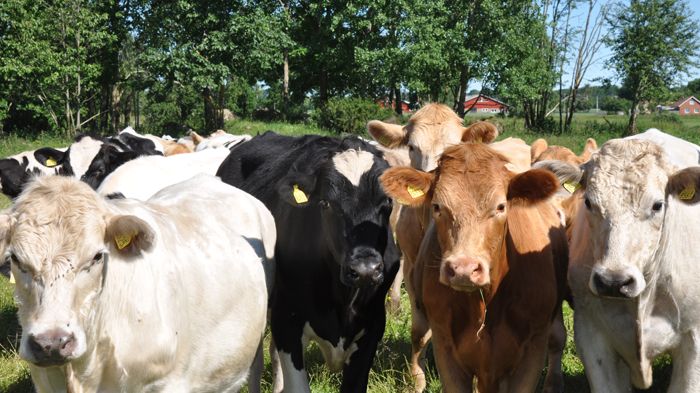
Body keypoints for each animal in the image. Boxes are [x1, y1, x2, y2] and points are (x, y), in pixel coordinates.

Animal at [380, 142, 568, 390]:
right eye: (437, 206)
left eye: (501, 206)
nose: (464, 269)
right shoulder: (446, 349)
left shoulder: (532, 351)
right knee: (419, 335)